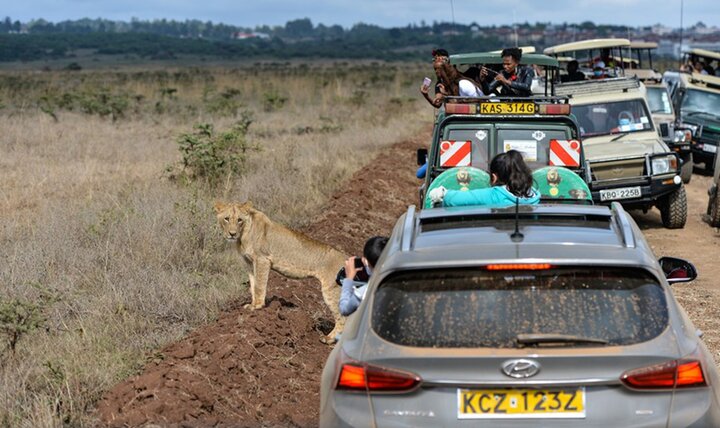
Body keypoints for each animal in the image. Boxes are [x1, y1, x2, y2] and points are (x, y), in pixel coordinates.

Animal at [214, 201, 348, 344]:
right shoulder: (250, 263)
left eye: (239, 220)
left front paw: (257, 306)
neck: (243, 236)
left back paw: (329, 339)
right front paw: (252, 304)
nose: (232, 234)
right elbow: (253, 285)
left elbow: (259, 285)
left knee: (342, 318)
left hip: (332, 291)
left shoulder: (262, 259)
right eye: (226, 218)